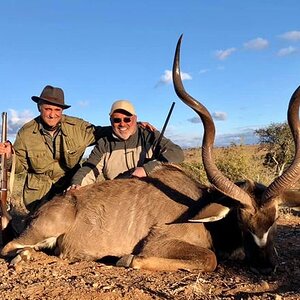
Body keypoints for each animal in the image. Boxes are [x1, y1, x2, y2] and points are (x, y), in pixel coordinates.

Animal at [1, 35, 298, 274]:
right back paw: (23, 256)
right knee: (9, 247)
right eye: (241, 219)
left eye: (275, 219)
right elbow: (208, 259)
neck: (198, 204)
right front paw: (125, 259)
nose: (265, 266)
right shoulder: (160, 241)